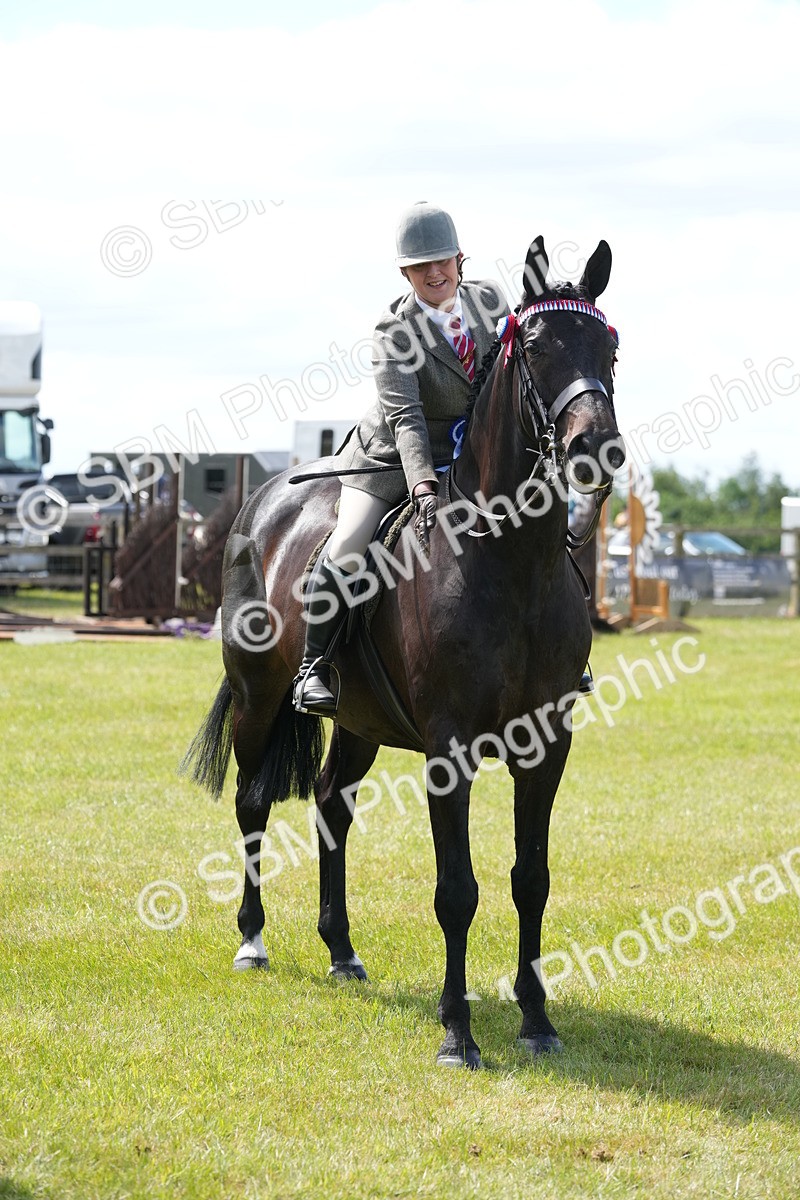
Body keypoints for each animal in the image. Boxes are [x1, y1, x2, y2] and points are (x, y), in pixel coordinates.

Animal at [183, 236, 625, 1069]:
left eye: (609, 346)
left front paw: (536, 1021)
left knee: (331, 804)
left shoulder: (547, 743)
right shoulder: (449, 749)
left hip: (360, 720)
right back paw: (253, 941)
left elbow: (531, 878)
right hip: (259, 694)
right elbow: (458, 890)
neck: (512, 560)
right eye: (538, 346)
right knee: (254, 800)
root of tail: (262, 502)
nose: (595, 449)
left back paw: (341, 950)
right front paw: (458, 1033)